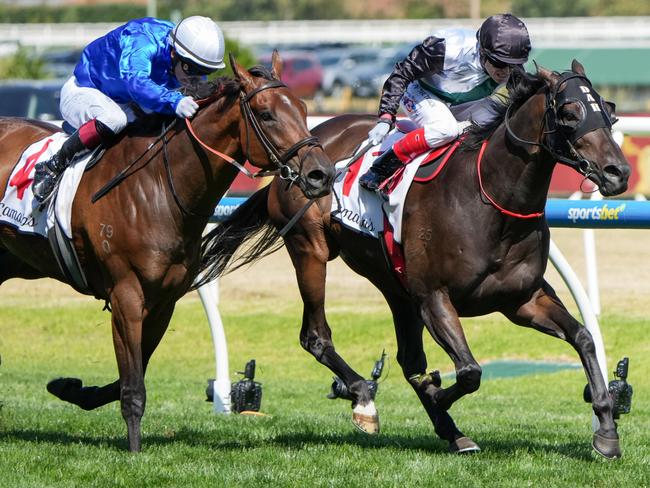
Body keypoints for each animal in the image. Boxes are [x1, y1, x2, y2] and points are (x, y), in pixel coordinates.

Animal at [0, 51, 334, 452]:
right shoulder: (126, 295)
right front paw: (133, 450)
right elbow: (132, 387)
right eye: (267, 113)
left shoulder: (162, 301)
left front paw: (72, 389)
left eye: (303, 108)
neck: (158, 187)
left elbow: (129, 377)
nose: (322, 174)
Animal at [201, 61, 628, 458]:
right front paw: (437, 392)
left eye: (607, 109)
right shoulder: (434, 297)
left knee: (408, 359)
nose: (618, 172)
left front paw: (606, 430)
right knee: (316, 337)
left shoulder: (522, 300)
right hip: (311, 249)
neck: (492, 200)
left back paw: (449, 430)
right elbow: (469, 371)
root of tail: (308, 145)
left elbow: (584, 337)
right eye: (570, 112)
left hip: (395, 284)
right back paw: (364, 398)